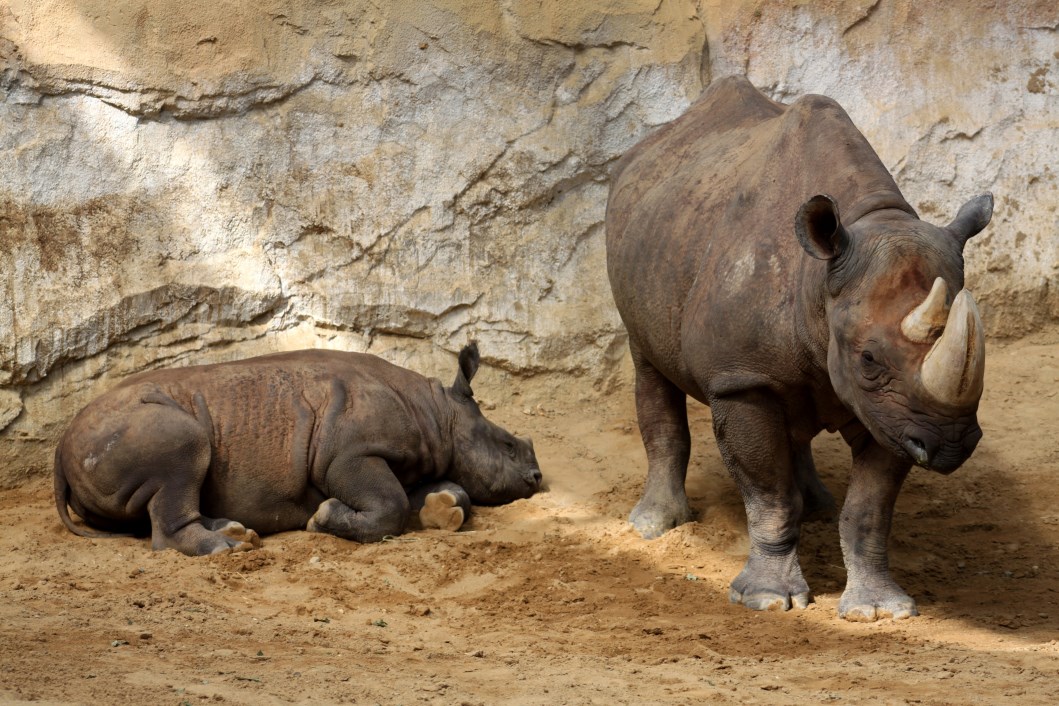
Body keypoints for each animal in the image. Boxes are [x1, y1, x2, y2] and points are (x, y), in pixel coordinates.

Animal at [54, 343, 542, 555]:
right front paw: (323, 518)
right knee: (183, 451)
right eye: (507, 446)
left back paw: (236, 532)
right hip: (121, 429)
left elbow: (437, 492)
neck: (439, 413)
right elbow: (391, 504)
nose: (537, 478)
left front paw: (443, 511)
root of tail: (60, 446)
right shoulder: (349, 454)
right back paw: (228, 549)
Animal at [605, 77, 991, 621]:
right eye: (868, 359)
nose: (950, 445)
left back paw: (818, 506)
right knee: (650, 368)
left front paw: (879, 609)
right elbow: (769, 494)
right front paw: (766, 599)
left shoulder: (895, 412)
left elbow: (869, 511)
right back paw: (654, 525)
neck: (820, 282)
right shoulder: (742, 380)